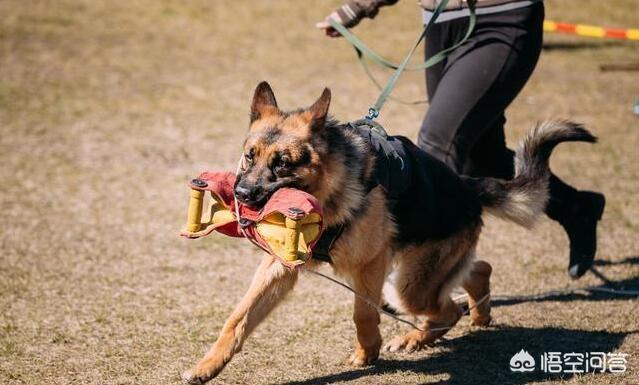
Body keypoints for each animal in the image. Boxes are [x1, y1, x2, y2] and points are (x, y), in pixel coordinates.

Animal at [182, 82, 596, 384]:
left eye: (282, 164)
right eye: (249, 156)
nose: (241, 194)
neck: (329, 190)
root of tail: (466, 186)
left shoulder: (370, 264)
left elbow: (362, 313)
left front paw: (368, 353)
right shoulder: (278, 267)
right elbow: (237, 319)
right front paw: (207, 366)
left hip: (405, 285)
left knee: (448, 307)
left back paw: (415, 337)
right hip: (419, 271)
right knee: (478, 270)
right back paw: (478, 315)